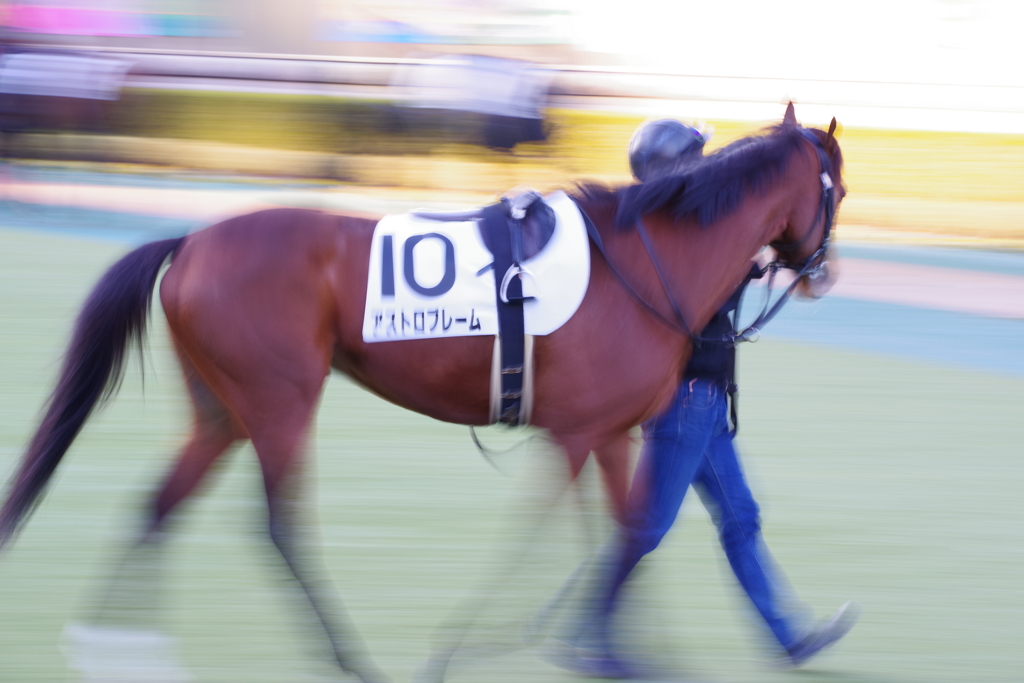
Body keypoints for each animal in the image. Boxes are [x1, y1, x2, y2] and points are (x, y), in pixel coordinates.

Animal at [2, 104, 839, 679]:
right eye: (837, 185)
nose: (825, 272)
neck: (643, 258)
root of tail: (192, 240)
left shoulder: (609, 431)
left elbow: (626, 532)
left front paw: (615, 651)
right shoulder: (574, 434)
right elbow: (558, 540)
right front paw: (473, 647)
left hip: (222, 408)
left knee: (160, 502)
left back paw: (120, 648)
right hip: (279, 400)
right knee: (280, 524)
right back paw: (349, 656)